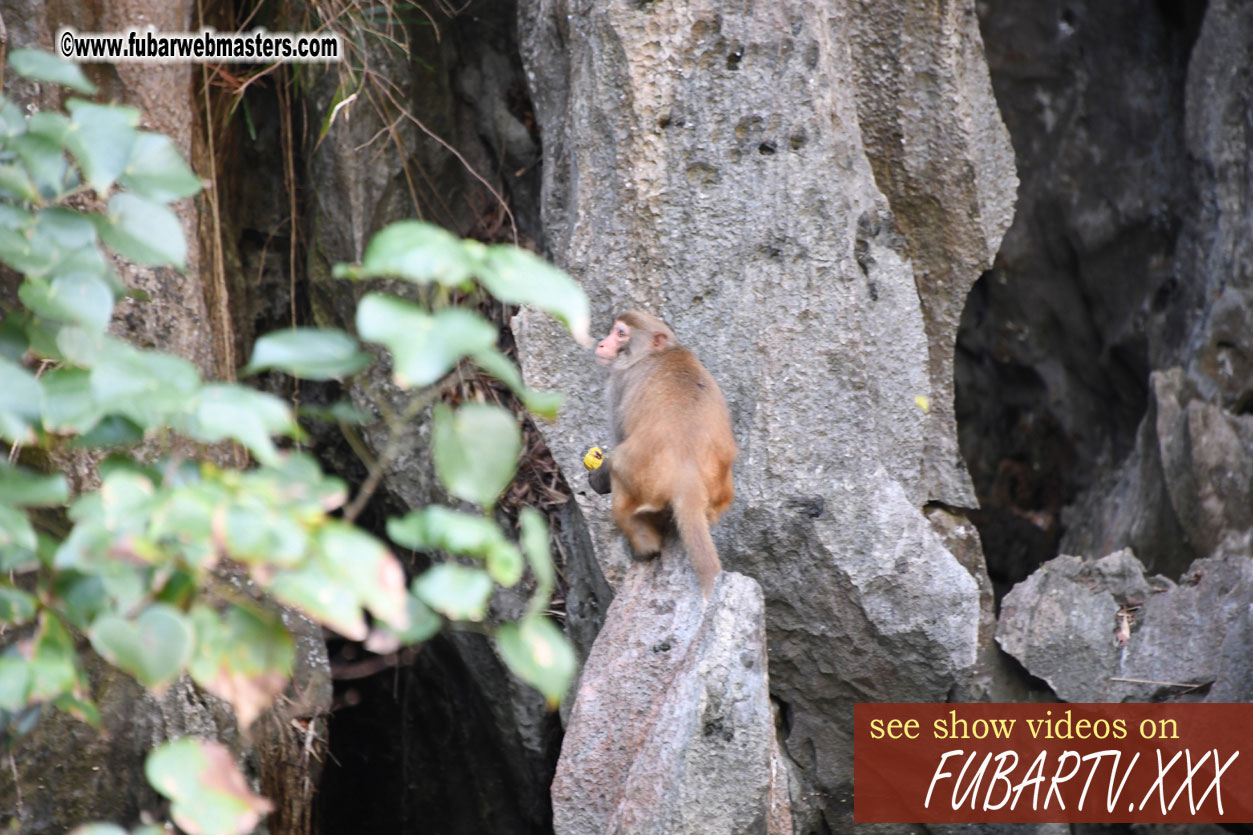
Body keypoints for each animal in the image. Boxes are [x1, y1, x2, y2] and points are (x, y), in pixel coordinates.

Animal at [588, 308, 731, 594]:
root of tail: (687, 479)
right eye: (614, 330)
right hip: (720, 489)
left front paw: (599, 478)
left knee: (620, 467)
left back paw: (645, 548)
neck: (658, 353)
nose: (602, 344)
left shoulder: (620, 381)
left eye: (621, 333)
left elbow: (618, 439)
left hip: (643, 482)